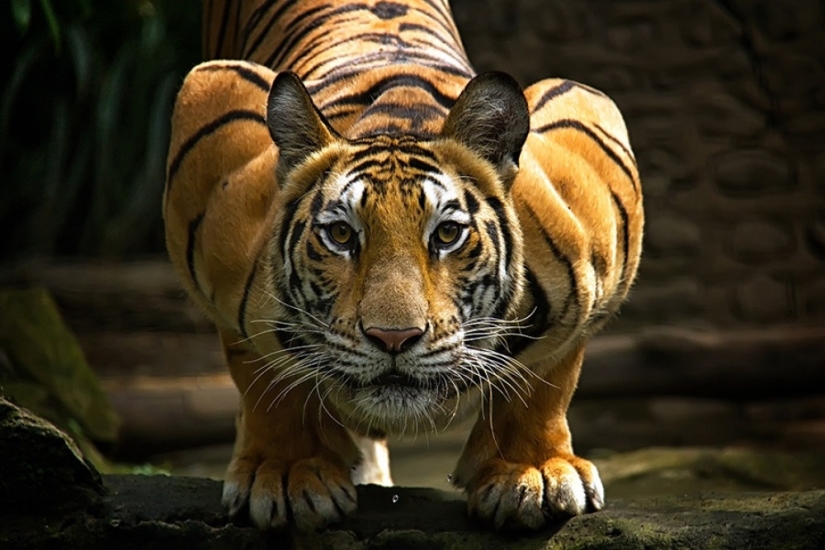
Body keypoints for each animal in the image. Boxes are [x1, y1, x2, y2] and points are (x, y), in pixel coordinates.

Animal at [164, 0, 643, 532]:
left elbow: (547, 374)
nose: (393, 338)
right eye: (341, 235)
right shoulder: (212, 117)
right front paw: (286, 473)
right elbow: (266, 374)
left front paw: (532, 471)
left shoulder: (588, 127)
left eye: (447, 234)